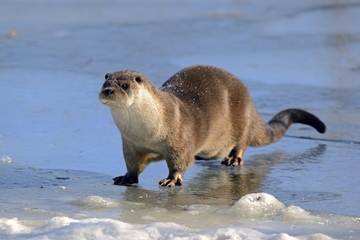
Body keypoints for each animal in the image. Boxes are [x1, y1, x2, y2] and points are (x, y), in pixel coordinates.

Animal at [98, 64, 326, 187]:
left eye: (125, 85)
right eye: (105, 83)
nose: (108, 91)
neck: (146, 133)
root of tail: (251, 102)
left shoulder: (178, 139)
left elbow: (179, 162)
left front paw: (172, 180)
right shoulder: (130, 144)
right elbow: (132, 163)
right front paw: (127, 177)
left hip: (242, 117)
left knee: (242, 142)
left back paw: (233, 159)